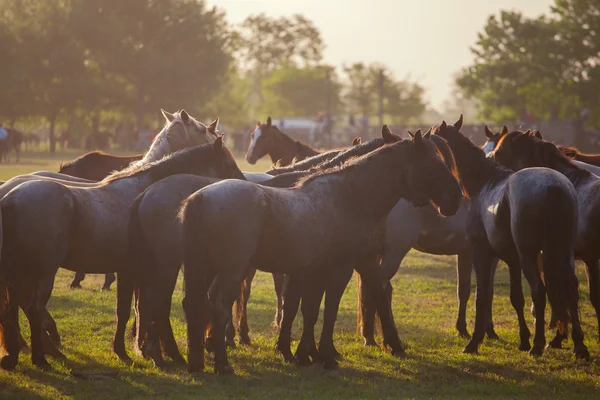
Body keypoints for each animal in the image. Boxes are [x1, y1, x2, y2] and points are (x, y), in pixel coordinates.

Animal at [180, 129, 462, 376]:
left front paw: (302, 353)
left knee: (196, 303)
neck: (349, 197)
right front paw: (326, 356)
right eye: (432, 163)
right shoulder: (340, 267)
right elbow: (330, 310)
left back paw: (197, 362)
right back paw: (222, 364)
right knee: (218, 304)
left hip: (205, 267)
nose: (456, 199)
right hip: (232, 268)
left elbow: (311, 309)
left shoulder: (320, 268)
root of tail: (199, 198)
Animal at [434, 115, 588, 360]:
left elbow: (482, 296)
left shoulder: (482, 253)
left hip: (530, 255)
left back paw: (538, 345)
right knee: (571, 291)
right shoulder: (512, 260)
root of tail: (554, 187)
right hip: (562, 253)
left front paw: (474, 341)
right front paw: (523, 340)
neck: (484, 182)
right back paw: (578, 346)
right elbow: (516, 298)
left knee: (540, 291)